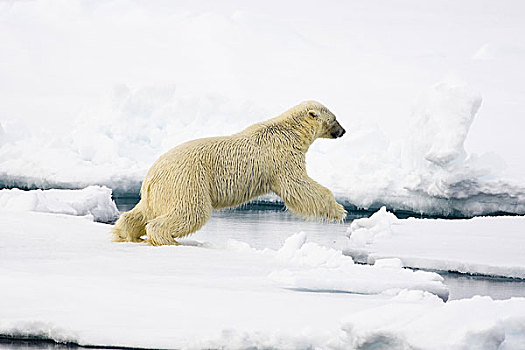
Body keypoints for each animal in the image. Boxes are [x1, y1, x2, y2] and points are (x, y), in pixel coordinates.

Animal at [112, 100, 346, 245]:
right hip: (188, 180)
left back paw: (126, 233)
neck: (290, 131)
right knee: (190, 211)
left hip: (158, 192)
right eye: (334, 119)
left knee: (141, 212)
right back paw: (167, 239)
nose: (343, 131)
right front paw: (338, 210)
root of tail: (152, 176)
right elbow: (297, 186)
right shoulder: (281, 157)